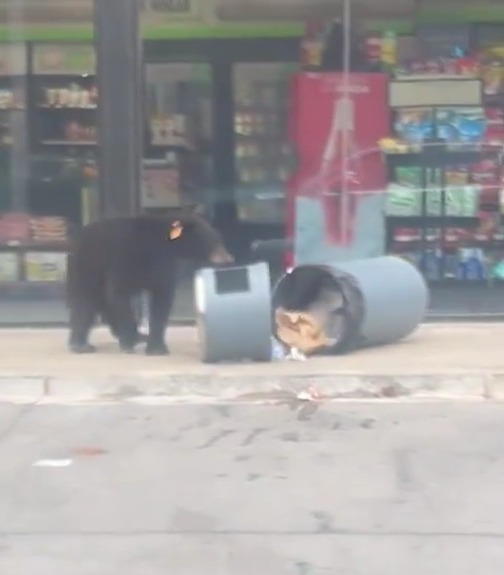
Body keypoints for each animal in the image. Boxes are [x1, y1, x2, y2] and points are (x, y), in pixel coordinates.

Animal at [64, 209, 234, 356]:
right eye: (212, 240)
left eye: (219, 238)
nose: (228, 258)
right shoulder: (121, 258)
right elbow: (119, 295)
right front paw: (128, 344)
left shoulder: (163, 267)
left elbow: (162, 298)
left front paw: (156, 348)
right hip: (85, 265)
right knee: (84, 300)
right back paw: (81, 345)